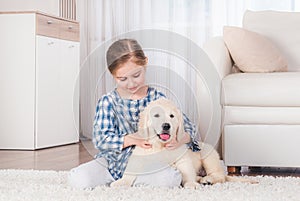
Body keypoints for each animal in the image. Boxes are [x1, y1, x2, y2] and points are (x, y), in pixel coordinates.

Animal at [110, 98, 255, 188]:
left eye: (172, 116)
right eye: (156, 115)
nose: (166, 125)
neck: (160, 146)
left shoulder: (183, 159)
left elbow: (186, 170)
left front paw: (190, 184)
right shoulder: (139, 157)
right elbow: (130, 171)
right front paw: (120, 182)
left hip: (209, 155)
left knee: (220, 175)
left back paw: (207, 180)